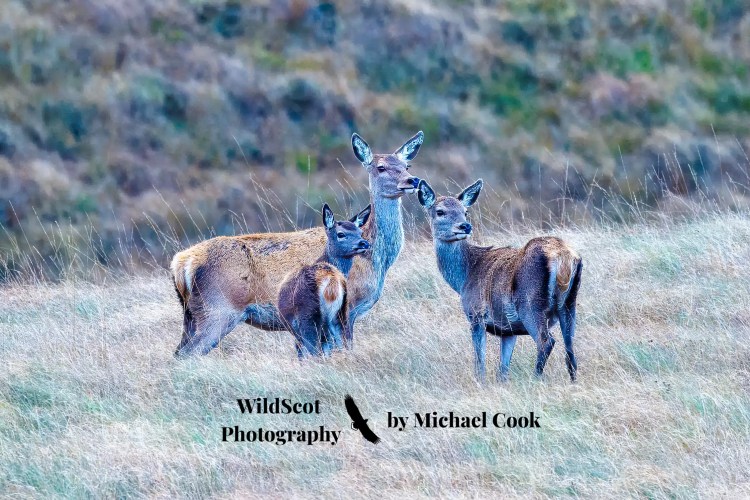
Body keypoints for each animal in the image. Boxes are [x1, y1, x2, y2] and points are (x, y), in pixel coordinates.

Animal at [278, 204, 370, 357]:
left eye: (360, 232)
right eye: (341, 234)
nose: (364, 243)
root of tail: (331, 282)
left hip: (309, 317)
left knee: (315, 350)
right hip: (340, 315)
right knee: (342, 344)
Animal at [416, 179, 583, 382]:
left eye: (465, 211)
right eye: (440, 211)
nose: (465, 226)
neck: (465, 276)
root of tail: (564, 258)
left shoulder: (476, 314)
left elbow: (480, 361)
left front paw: (480, 383)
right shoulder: (508, 328)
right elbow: (503, 369)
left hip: (530, 304)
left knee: (546, 341)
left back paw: (535, 378)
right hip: (569, 304)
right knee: (570, 348)